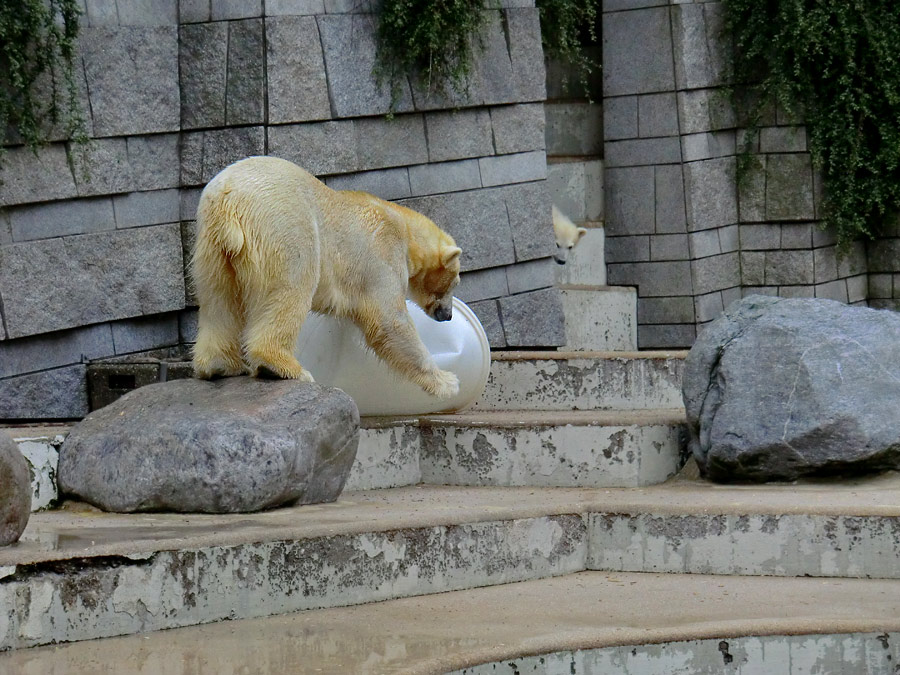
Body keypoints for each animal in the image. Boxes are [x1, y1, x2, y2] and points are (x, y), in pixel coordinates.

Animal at [189, 157, 460, 402]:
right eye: (455, 282)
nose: (448, 315)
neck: (404, 227)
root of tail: (228, 198)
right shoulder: (382, 253)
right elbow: (389, 321)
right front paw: (448, 382)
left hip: (211, 245)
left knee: (219, 300)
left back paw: (220, 365)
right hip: (284, 226)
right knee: (290, 287)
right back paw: (281, 367)